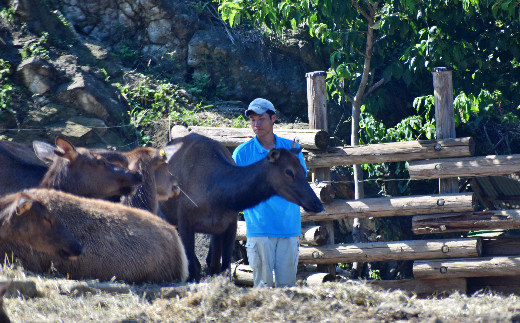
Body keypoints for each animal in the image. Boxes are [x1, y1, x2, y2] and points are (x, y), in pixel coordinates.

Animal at [158, 133, 322, 282]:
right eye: (288, 171)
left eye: (303, 170)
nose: (318, 204)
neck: (218, 196)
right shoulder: (185, 221)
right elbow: (192, 269)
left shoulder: (228, 225)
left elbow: (224, 268)